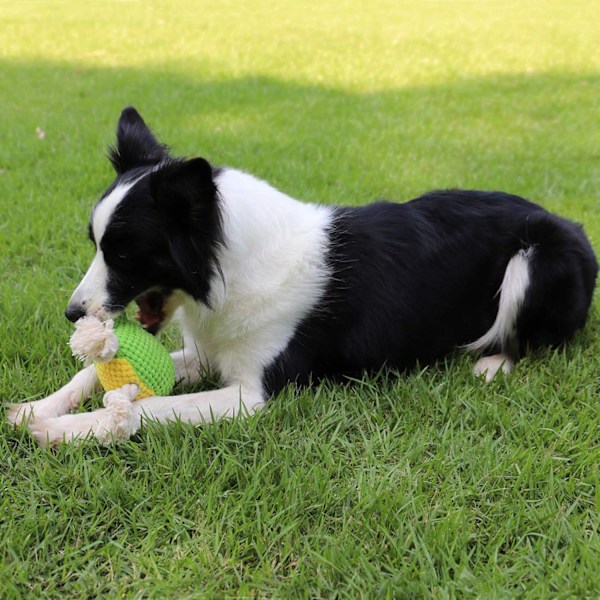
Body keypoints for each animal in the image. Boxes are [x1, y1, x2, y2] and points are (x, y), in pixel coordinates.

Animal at [8, 106, 596, 446]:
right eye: (95, 245)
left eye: (125, 255)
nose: (72, 313)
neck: (233, 264)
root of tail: (573, 224)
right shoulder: (209, 354)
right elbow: (97, 377)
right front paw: (38, 407)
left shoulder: (253, 393)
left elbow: (148, 409)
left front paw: (62, 429)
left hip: (536, 259)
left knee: (529, 339)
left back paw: (493, 363)